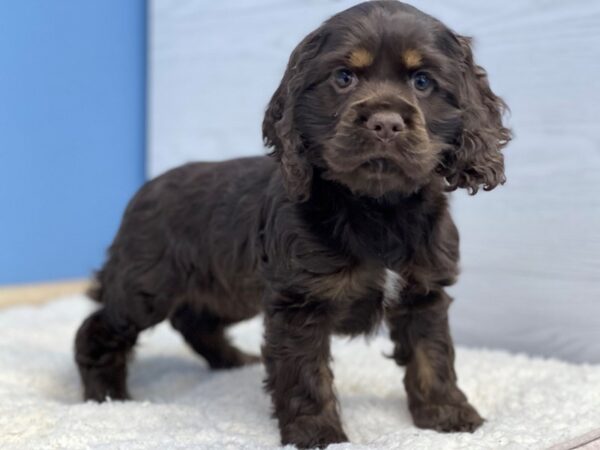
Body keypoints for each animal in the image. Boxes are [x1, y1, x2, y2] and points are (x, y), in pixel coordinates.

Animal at [72, 1, 508, 448]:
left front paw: (448, 415)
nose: (385, 123)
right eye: (344, 77)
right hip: (147, 287)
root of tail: (144, 190)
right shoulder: (299, 301)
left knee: (194, 320)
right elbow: (306, 374)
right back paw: (107, 397)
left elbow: (432, 355)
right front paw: (318, 433)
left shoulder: (422, 291)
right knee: (97, 327)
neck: (375, 207)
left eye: (423, 81)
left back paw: (232, 360)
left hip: (228, 291)